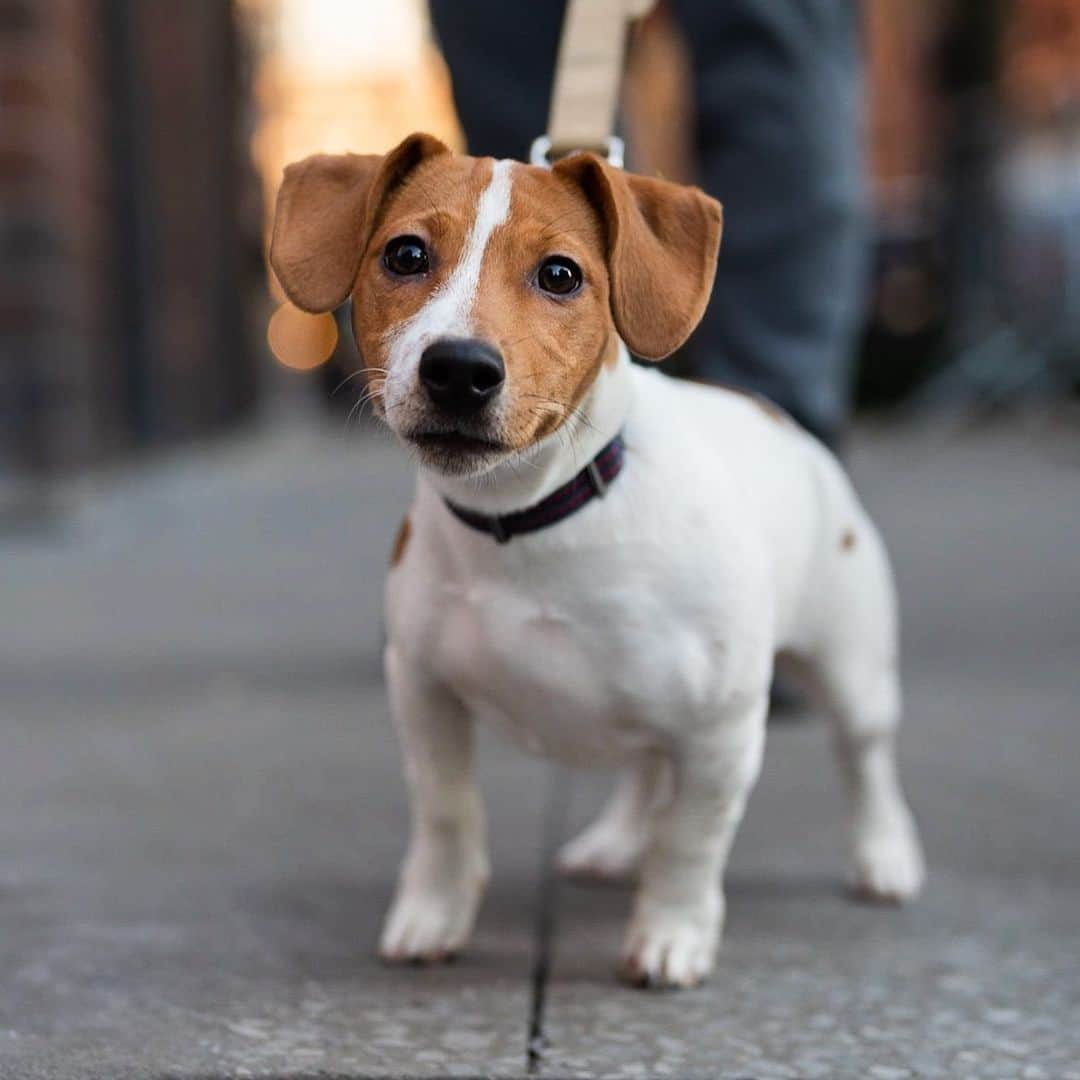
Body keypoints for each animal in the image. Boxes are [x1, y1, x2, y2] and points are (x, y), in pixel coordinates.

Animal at [272, 132, 928, 989]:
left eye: (560, 274)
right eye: (405, 254)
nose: (459, 367)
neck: (532, 519)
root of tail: (774, 417)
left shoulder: (720, 730)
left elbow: (689, 840)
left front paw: (672, 935)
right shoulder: (422, 692)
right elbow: (448, 813)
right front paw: (433, 915)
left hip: (852, 667)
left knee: (865, 758)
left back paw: (884, 856)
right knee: (645, 766)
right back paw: (616, 842)